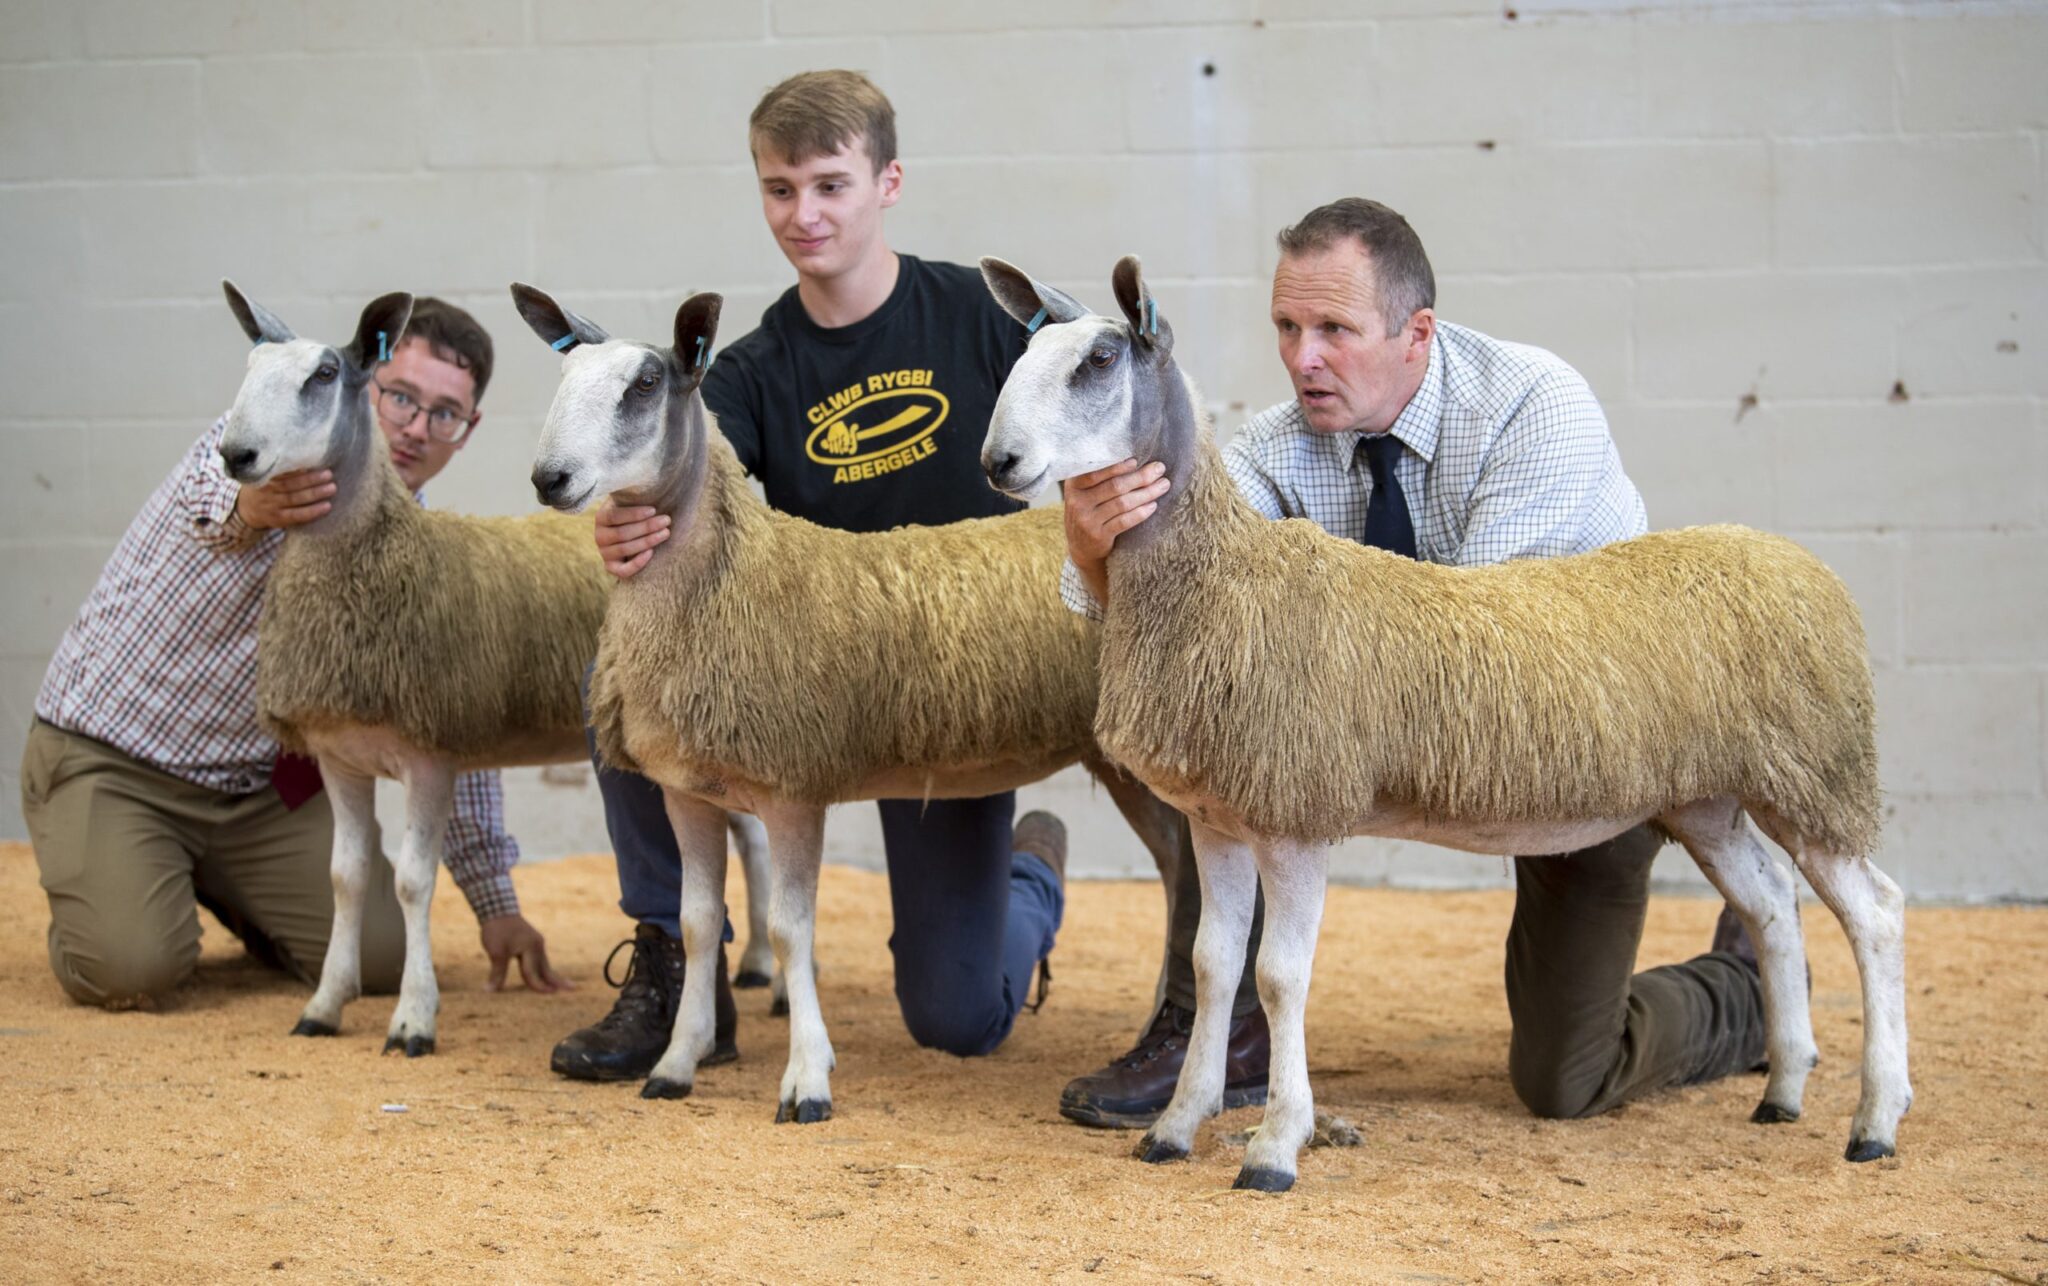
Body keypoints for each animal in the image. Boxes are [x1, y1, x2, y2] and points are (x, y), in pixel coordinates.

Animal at [216, 286, 774, 1056]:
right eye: (249, 366)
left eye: (323, 376)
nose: (234, 454)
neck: (380, 560)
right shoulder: (339, 758)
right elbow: (346, 878)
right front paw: (324, 1005)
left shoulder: (429, 752)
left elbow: (413, 883)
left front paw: (412, 1019)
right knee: (747, 835)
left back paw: (766, 978)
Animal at [509, 284, 1187, 1122]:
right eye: (565, 376)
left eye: (643, 385)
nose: (550, 478)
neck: (729, 582)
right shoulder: (685, 789)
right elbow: (699, 925)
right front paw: (677, 1060)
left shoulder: (794, 786)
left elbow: (790, 931)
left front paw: (807, 1079)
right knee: (1175, 875)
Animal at [974, 253, 1900, 1195]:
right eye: (1032, 349)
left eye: (1097, 362)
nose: (998, 460)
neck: (1220, 576)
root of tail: (1801, 563)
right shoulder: (1220, 816)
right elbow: (1216, 963)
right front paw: (1176, 1123)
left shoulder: (1297, 814)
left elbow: (1280, 977)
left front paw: (1275, 1146)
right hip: (1711, 798)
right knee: (1774, 904)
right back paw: (1784, 1087)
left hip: (1817, 770)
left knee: (1876, 915)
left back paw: (1874, 1121)